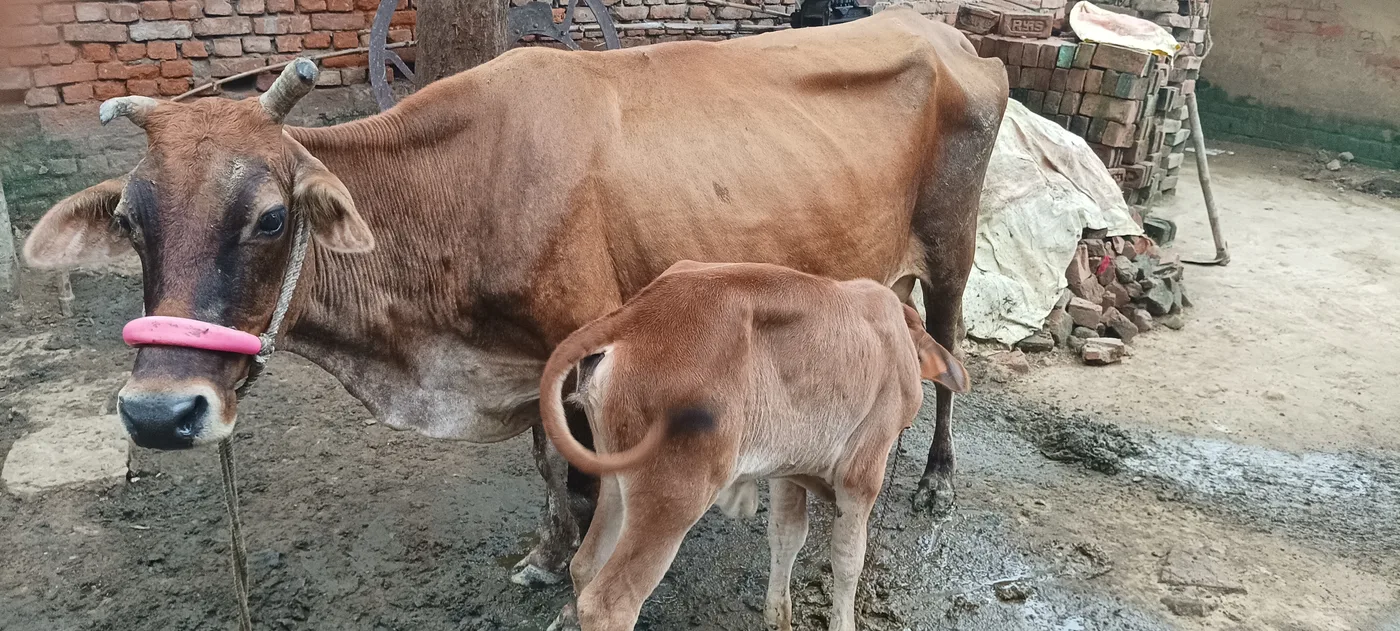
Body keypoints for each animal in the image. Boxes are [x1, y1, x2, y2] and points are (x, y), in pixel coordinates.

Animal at [22, 6, 1006, 588]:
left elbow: (580, 469)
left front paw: (575, 558)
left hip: (951, 249)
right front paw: (543, 552)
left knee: (952, 353)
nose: (158, 415)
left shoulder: (583, 343)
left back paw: (937, 481)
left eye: (270, 217)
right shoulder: (531, 358)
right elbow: (543, 463)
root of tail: (951, 34)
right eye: (132, 222)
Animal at [538, 261, 971, 631]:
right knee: (610, 604)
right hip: (675, 496)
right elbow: (847, 559)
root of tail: (632, 317)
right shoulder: (861, 474)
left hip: (617, 479)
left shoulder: (790, 469)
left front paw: (778, 617)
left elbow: (786, 536)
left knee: (584, 566)